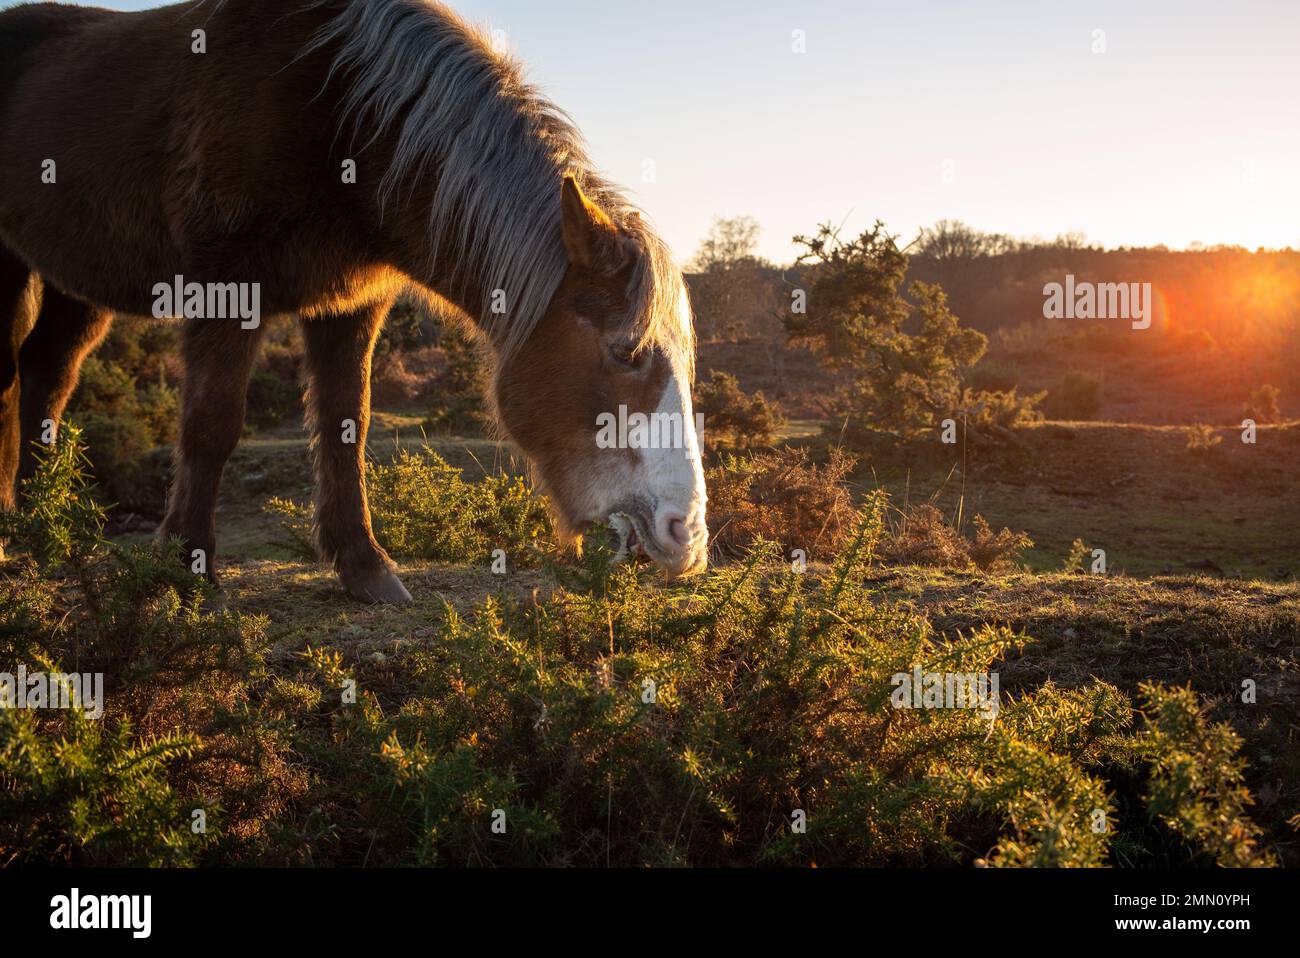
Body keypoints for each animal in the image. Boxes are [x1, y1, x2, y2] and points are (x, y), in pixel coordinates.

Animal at [0, 0, 707, 597]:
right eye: (626, 353)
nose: (687, 536)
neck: (337, 110)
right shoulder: (226, 285)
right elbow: (211, 422)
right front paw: (186, 565)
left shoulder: (348, 305)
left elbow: (348, 426)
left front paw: (364, 567)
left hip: (77, 283)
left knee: (47, 373)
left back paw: (42, 529)